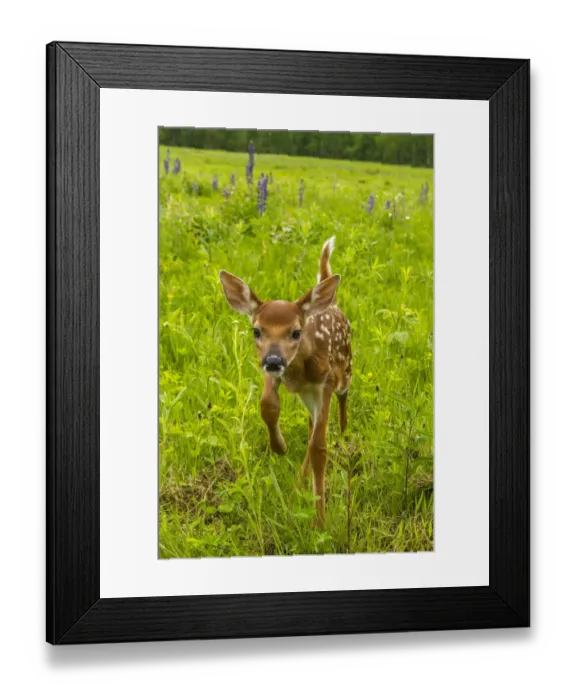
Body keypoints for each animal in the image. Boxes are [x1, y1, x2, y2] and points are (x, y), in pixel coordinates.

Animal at [219, 236, 352, 525]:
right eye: (257, 330)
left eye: (296, 332)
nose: (273, 359)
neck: (299, 369)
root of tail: (333, 303)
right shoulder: (276, 376)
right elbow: (268, 407)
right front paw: (279, 447)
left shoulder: (325, 382)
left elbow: (320, 448)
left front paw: (320, 520)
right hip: (307, 395)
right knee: (311, 424)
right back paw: (300, 483)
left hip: (345, 370)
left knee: (342, 400)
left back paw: (345, 435)